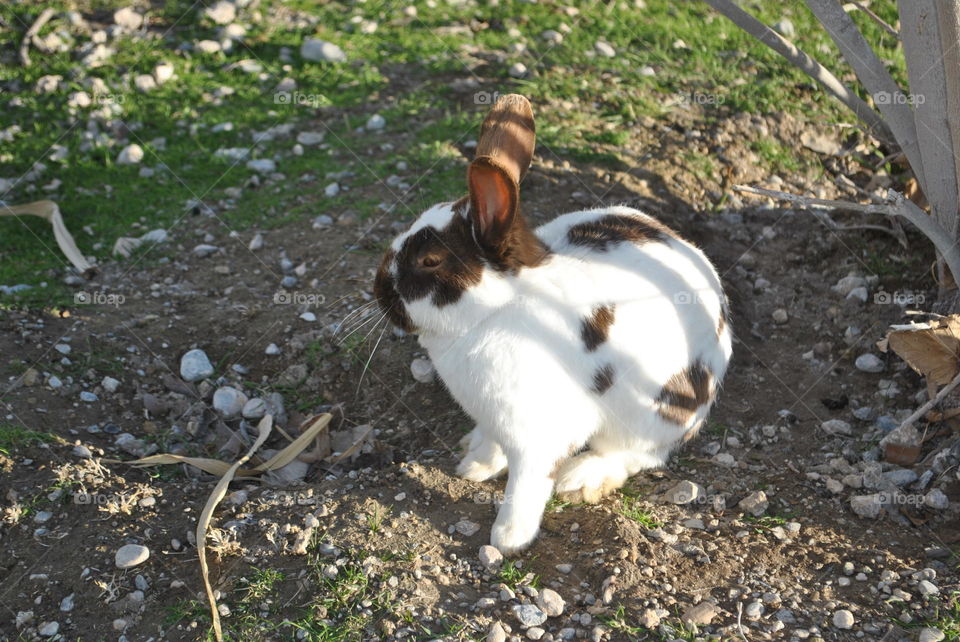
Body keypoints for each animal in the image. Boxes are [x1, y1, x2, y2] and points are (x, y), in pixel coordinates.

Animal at [376, 94, 736, 552]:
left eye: (430, 261)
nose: (379, 290)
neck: (493, 311)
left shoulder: (537, 437)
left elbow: (527, 486)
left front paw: (508, 539)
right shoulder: (495, 418)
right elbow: (493, 447)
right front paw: (475, 467)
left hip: (656, 413)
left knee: (635, 455)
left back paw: (582, 477)